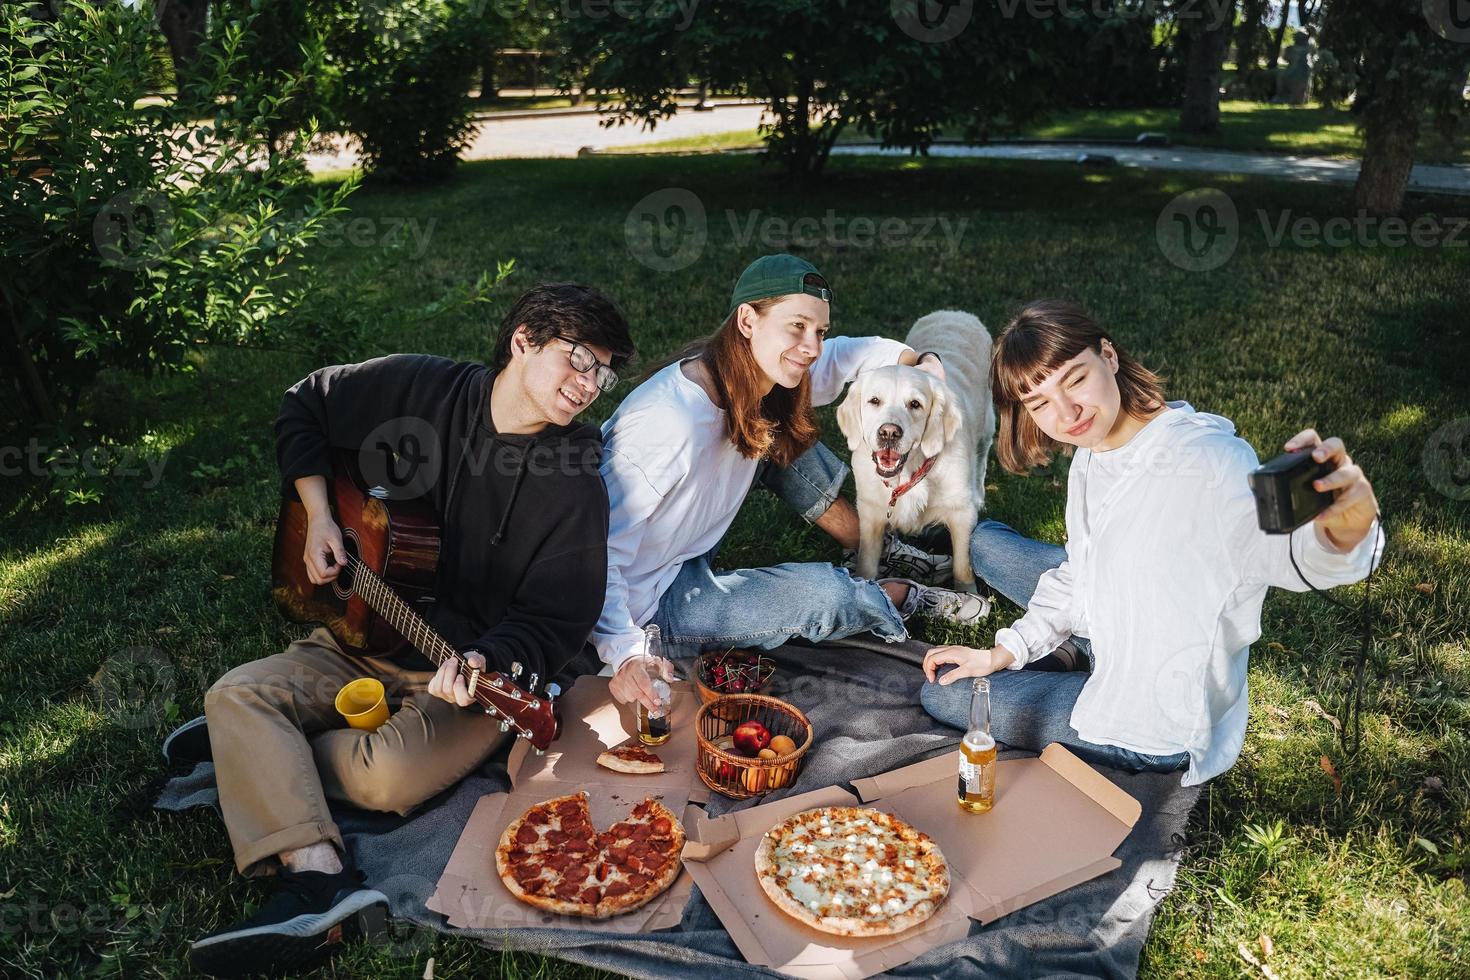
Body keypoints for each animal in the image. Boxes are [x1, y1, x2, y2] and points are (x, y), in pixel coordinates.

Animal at [834, 310, 993, 593]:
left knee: (982, 456)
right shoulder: (871, 513)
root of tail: (955, 312)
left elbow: (962, 565)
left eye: (915, 404)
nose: (888, 433)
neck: (909, 472)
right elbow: (867, 562)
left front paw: (968, 594)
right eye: (874, 400)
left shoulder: (961, 514)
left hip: (988, 423)